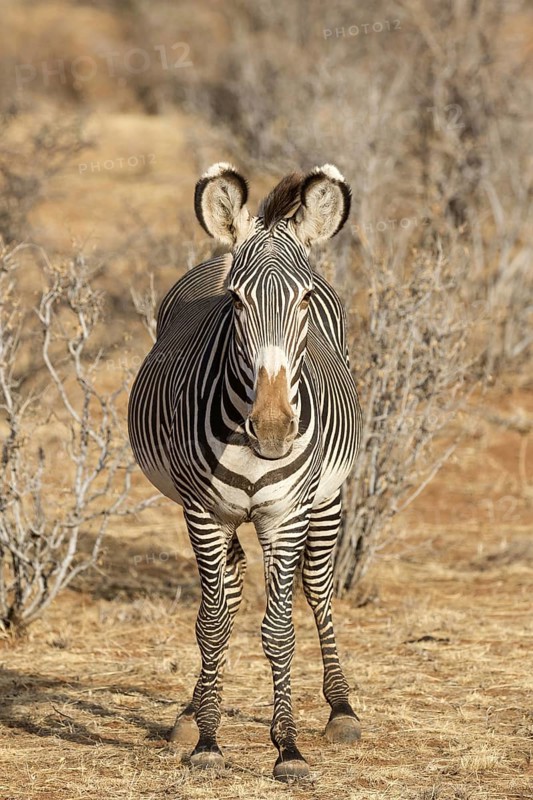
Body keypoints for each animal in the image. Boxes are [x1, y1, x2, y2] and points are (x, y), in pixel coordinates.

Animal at [128, 162, 362, 780]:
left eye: (303, 301)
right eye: (234, 302)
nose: (275, 429)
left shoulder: (286, 515)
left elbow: (279, 630)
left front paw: (289, 748)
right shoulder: (203, 512)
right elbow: (212, 622)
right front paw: (208, 740)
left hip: (327, 500)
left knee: (318, 587)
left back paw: (342, 708)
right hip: (215, 515)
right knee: (227, 594)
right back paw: (192, 712)